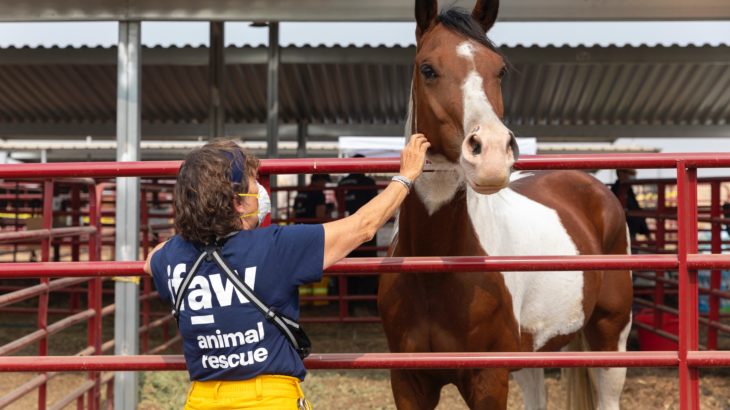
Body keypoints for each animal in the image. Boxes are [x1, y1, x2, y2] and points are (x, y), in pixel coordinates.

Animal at [378, 1, 636, 408]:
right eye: (427, 69)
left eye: (499, 69)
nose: (493, 153)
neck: (434, 268)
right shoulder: (408, 382)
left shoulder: (489, 379)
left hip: (611, 334)